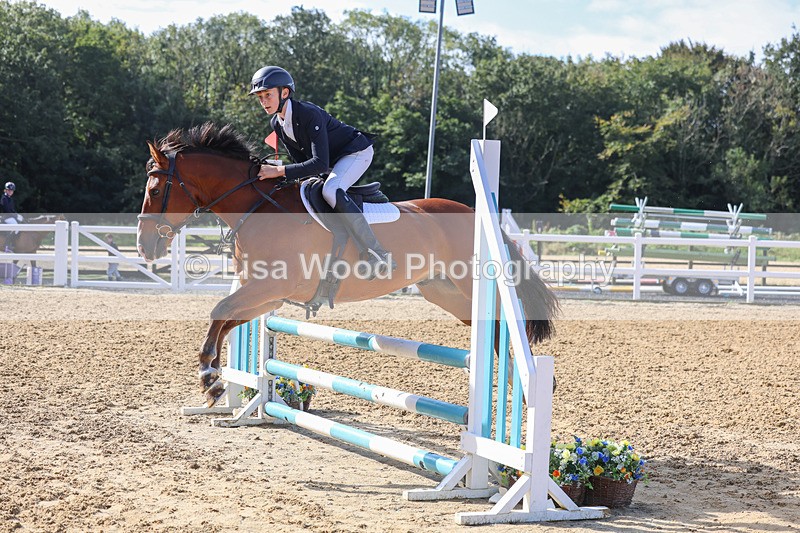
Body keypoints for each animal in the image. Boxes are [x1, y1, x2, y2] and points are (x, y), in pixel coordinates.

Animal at [136, 123, 559, 406]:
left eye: (155, 190)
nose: (144, 247)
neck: (257, 207)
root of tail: (474, 212)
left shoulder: (270, 288)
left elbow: (219, 310)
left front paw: (209, 376)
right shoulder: (266, 296)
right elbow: (225, 319)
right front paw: (213, 380)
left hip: (470, 285)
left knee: (504, 327)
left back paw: (533, 389)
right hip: (446, 292)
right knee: (495, 335)